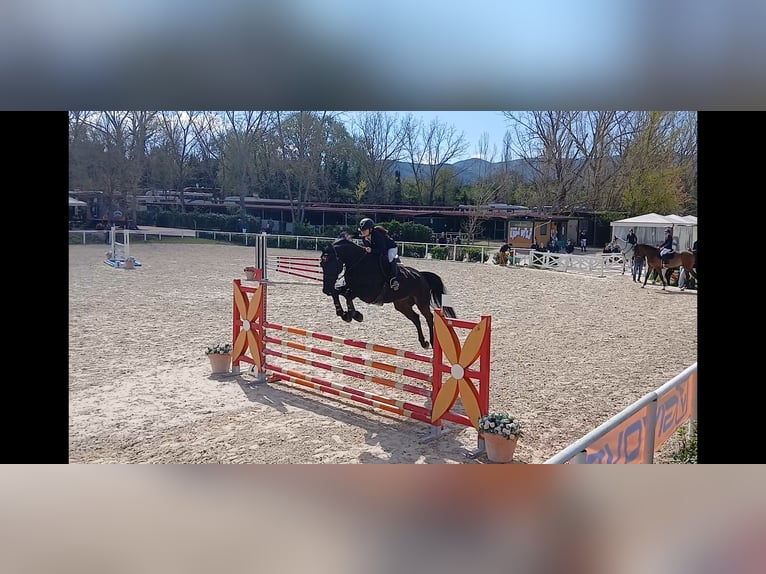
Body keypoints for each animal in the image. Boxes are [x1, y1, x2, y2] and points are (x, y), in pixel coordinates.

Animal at [319, 238, 457, 349]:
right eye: (322, 264)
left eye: (332, 263)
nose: (325, 290)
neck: (359, 264)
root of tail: (421, 275)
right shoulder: (351, 288)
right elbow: (337, 293)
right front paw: (344, 313)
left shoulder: (368, 293)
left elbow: (347, 295)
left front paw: (354, 315)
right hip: (402, 305)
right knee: (416, 318)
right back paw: (423, 342)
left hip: (422, 302)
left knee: (429, 317)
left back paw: (432, 342)